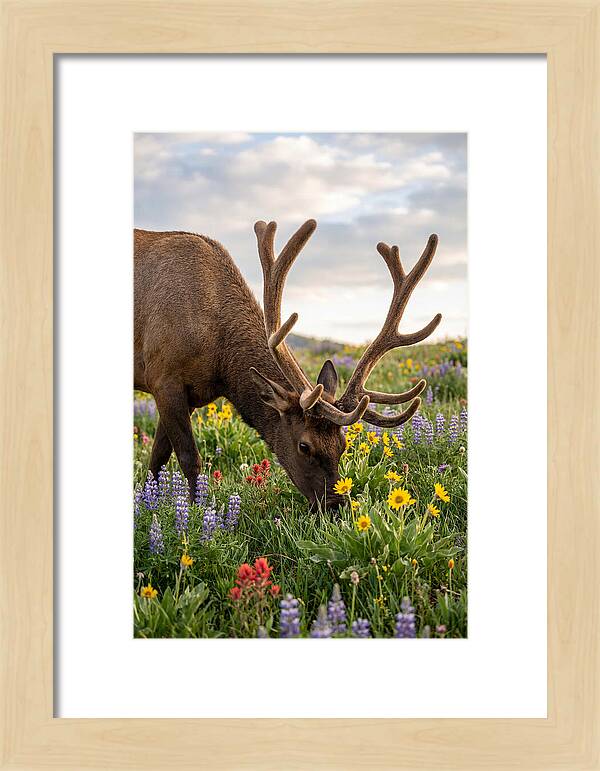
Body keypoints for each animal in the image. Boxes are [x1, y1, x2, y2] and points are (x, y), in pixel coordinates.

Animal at [134, 219, 441, 509]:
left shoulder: (190, 395)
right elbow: (188, 458)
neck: (221, 364)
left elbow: (157, 458)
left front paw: (149, 503)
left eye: (343, 445)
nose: (335, 505)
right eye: (304, 446)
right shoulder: (163, 377)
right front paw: (193, 513)